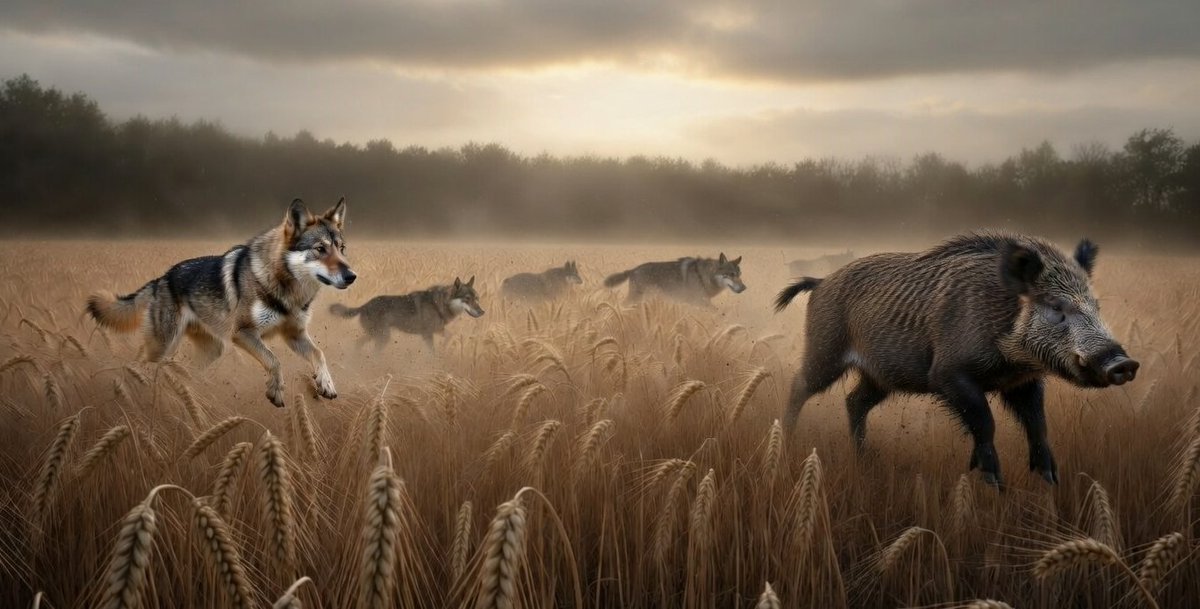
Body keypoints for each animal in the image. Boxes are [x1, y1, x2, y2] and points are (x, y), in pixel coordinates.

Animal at [87, 198, 356, 407]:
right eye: (320, 249)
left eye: (341, 248)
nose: (352, 276)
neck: (288, 289)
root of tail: (161, 279)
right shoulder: (243, 333)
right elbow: (273, 360)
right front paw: (275, 391)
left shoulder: (294, 334)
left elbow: (319, 353)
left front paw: (326, 384)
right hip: (163, 346)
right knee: (137, 363)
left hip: (213, 350)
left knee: (186, 372)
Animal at [330, 276, 484, 351]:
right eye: (467, 299)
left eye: (477, 299)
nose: (482, 312)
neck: (439, 304)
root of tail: (364, 305)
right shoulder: (427, 334)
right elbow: (432, 352)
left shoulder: (438, 330)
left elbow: (452, 336)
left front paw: (445, 348)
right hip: (382, 337)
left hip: (376, 335)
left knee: (358, 343)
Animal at [604, 253, 746, 306]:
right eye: (731, 274)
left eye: (739, 274)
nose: (744, 288)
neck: (703, 275)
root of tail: (633, 269)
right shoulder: (696, 301)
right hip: (635, 298)